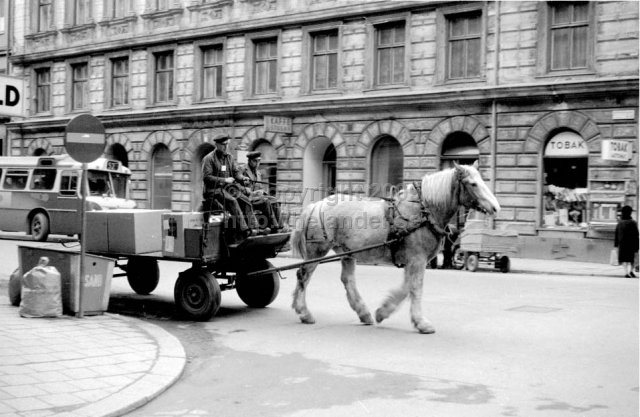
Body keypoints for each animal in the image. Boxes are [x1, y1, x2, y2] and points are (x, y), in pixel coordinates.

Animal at [290, 161, 500, 334]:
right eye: (473, 184)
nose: (496, 208)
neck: (422, 211)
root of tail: (317, 204)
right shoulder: (417, 259)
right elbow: (415, 288)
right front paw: (421, 323)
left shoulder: (413, 261)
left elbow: (407, 287)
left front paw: (383, 311)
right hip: (318, 251)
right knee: (303, 275)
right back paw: (304, 312)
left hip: (347, 252)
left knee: (347, 280)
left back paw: (363, 313)